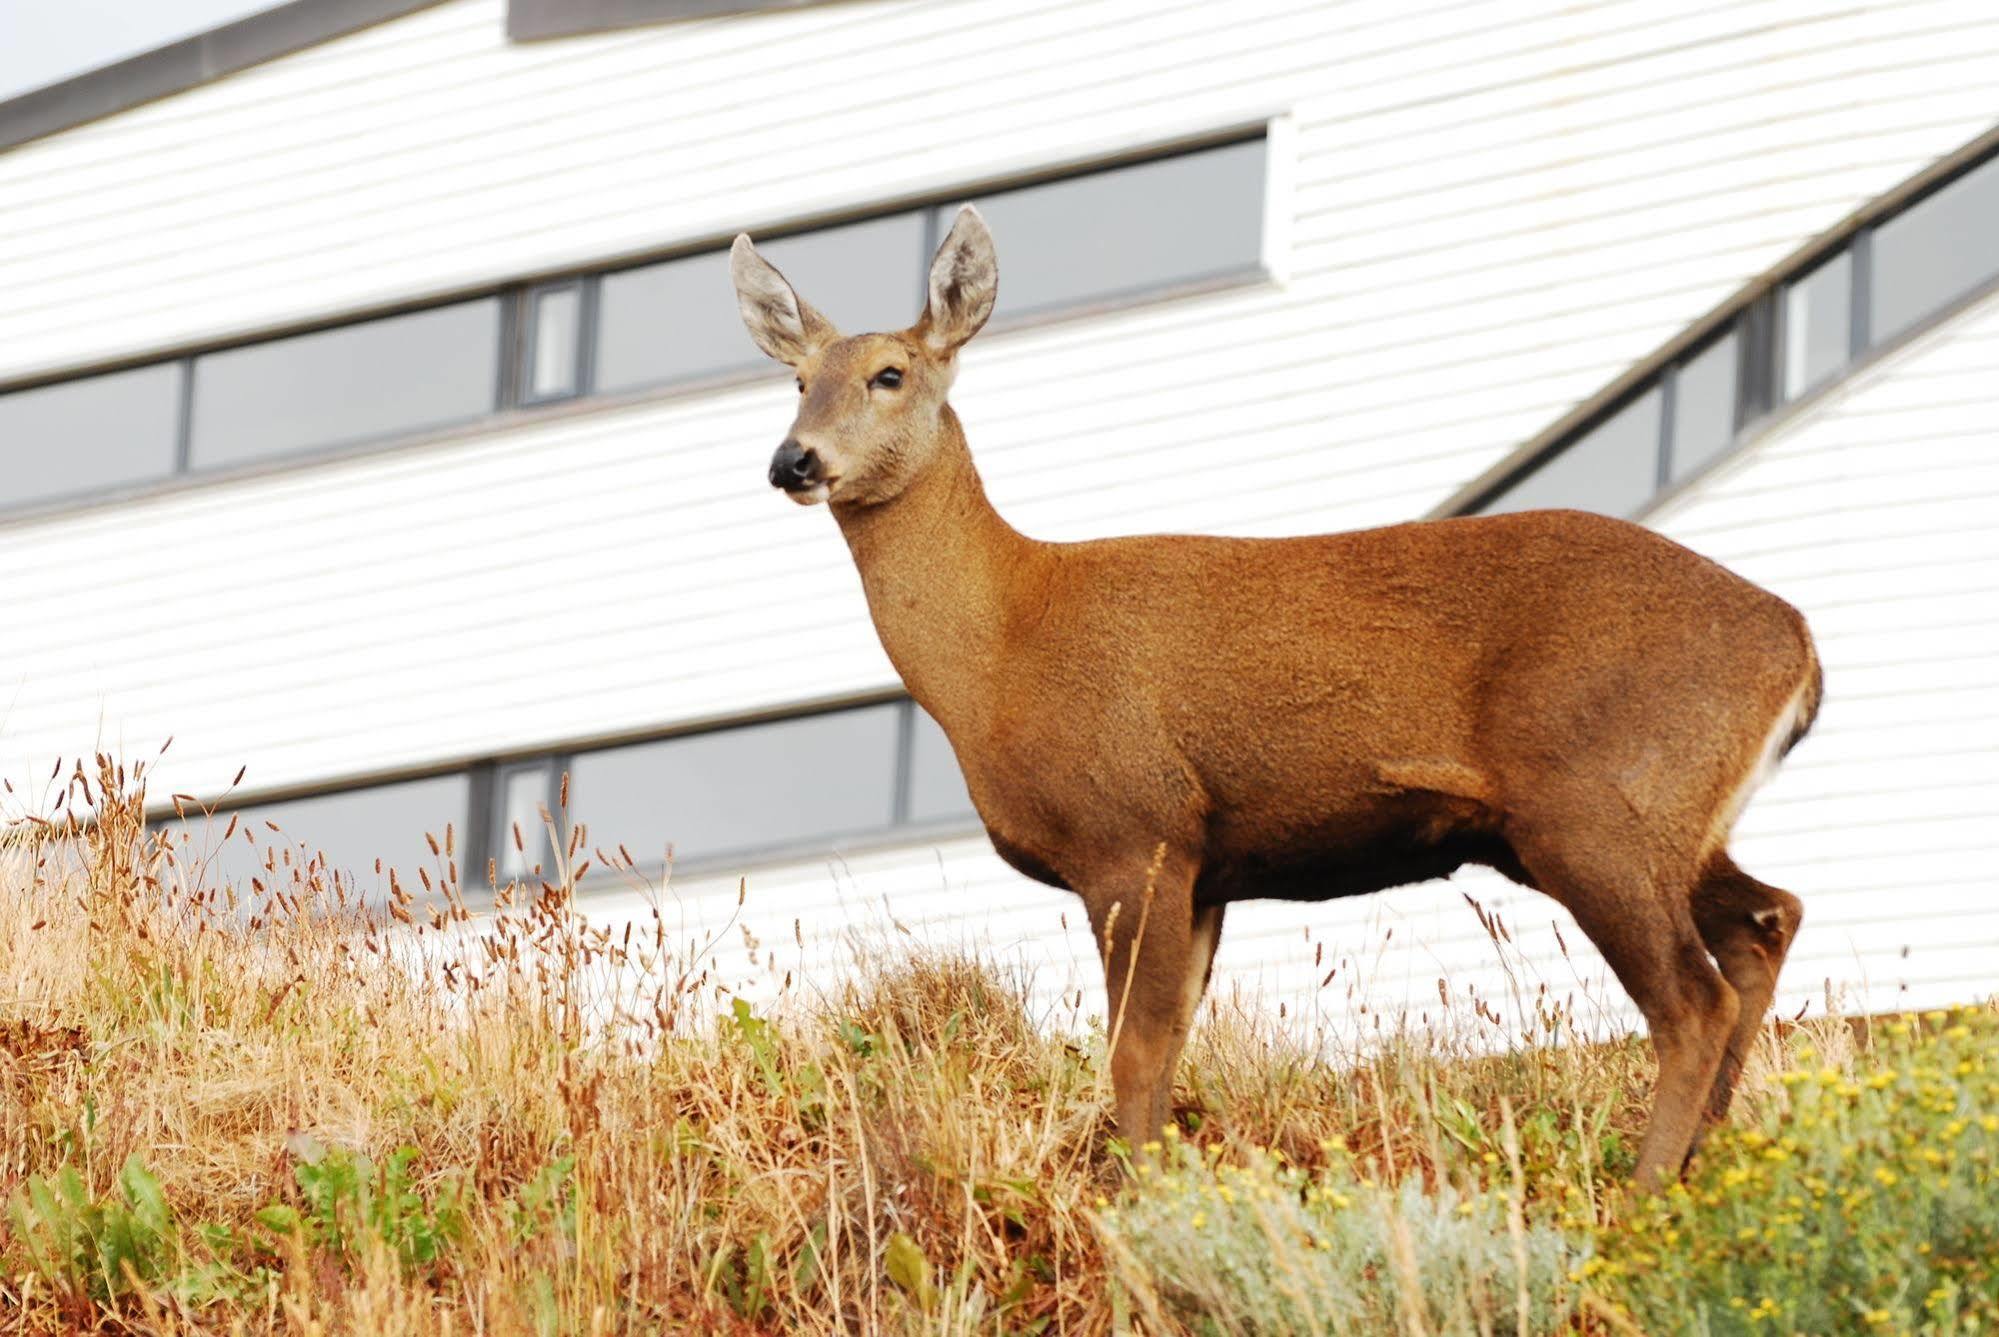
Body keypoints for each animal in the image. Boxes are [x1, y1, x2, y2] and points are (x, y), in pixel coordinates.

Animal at [731, 203, 1831, 1183]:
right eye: (797, 379)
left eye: (889, 372)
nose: (792, 459)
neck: (1002, 646)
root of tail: (1797, 639)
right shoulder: (1208, 864)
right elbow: (1166, 1051)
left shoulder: (1133, 829)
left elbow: (1133, 1053)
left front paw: (1138, 1211)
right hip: (1643, 817)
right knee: (1765, 919)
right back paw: (1700, 1165)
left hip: (1599, 800)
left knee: (1690, 999)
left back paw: (1641, 1196)